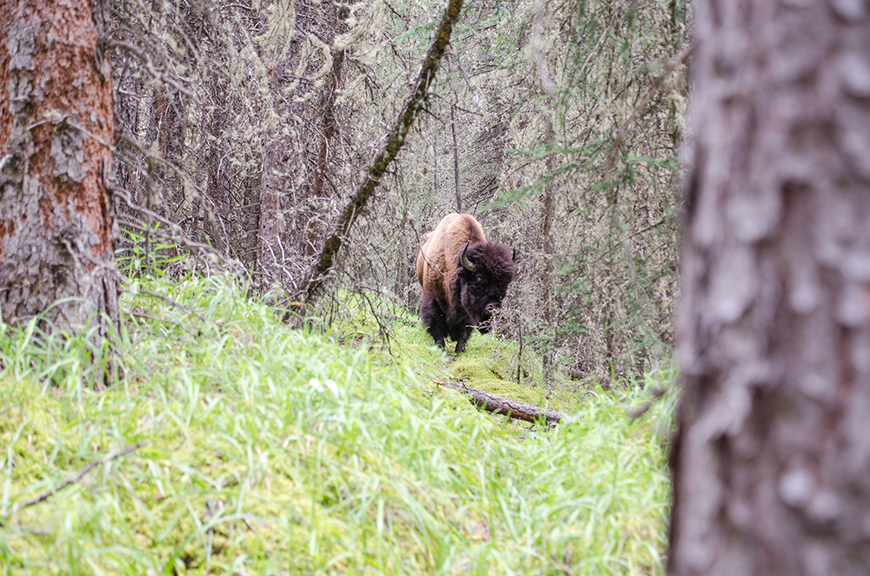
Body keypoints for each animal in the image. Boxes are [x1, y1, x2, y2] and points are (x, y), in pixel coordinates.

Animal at [415, 213, 515, 353]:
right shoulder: (432, 299)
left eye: (505, 284)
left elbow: (464, 330)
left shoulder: (466, 312)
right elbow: (436, 325)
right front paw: (440, 347)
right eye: (479, 278)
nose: (494, 307)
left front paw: (459, 350)